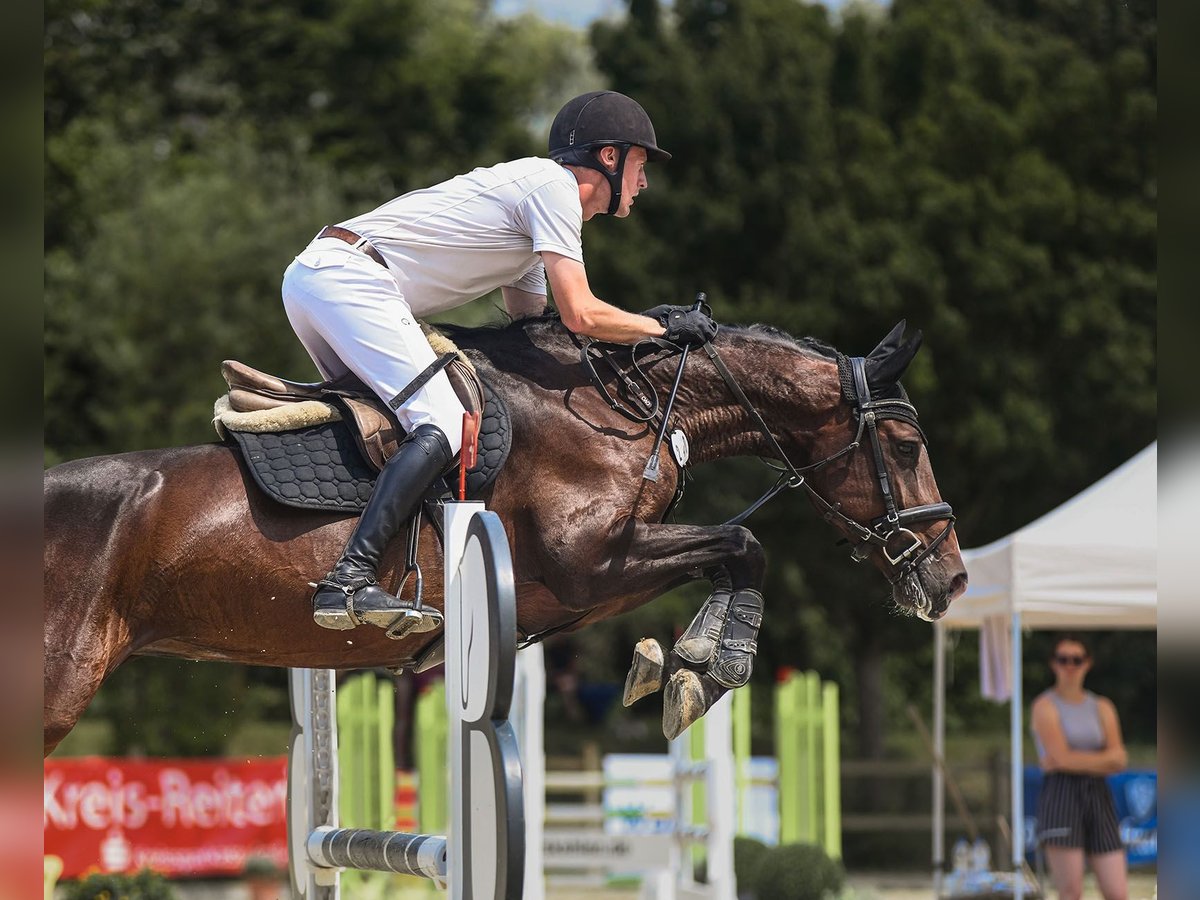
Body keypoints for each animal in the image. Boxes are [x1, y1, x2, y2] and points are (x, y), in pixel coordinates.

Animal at [42, 314, 969, 753]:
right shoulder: (591, 565)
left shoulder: (576, 593)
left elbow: (730, 558)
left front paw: (677, 666)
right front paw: (708, 667)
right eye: (907, 446)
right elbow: (746, 547)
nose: (952, 578)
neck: (624, 413)